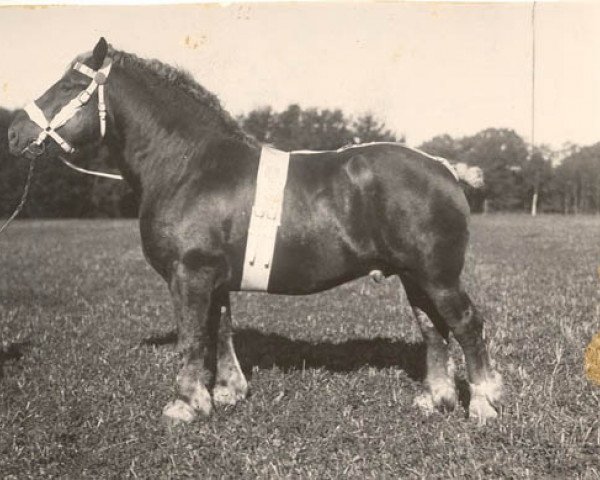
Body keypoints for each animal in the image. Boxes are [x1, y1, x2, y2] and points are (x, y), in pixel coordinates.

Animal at [8, 39, 502, 426]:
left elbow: (192, 336)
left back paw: (482, 404)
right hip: (415, 277)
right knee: (432, 328)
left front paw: (185, 404)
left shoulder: (189, 274)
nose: (14, 133)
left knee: (465, 324)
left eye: (69, 87)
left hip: (438, 277)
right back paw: (436, 398)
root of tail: (444, 167)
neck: (189, 165)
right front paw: (227, 392)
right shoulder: (214, 278)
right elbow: (220, 330)